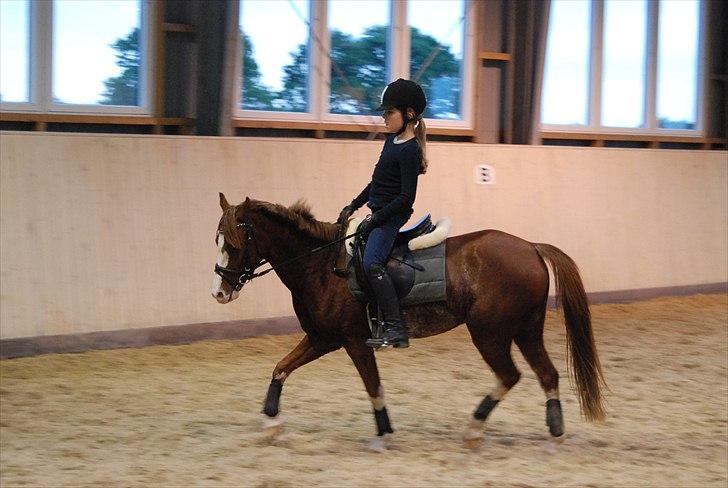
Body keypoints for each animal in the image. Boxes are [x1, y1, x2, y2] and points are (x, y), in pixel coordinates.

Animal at [211, 194, 606, 450]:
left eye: (234, 242)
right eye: (218, 240)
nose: (219, 293)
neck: (320, 266)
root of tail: (531, 247)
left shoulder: (354, 342)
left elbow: (373, 386)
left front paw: (385, 432)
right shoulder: (322, 338)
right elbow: (280, 367)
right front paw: (271, 424)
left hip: (490, 333)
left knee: (510, 375)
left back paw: (474, 429)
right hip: (525, 330)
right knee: (547, 374)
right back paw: (554, 430)